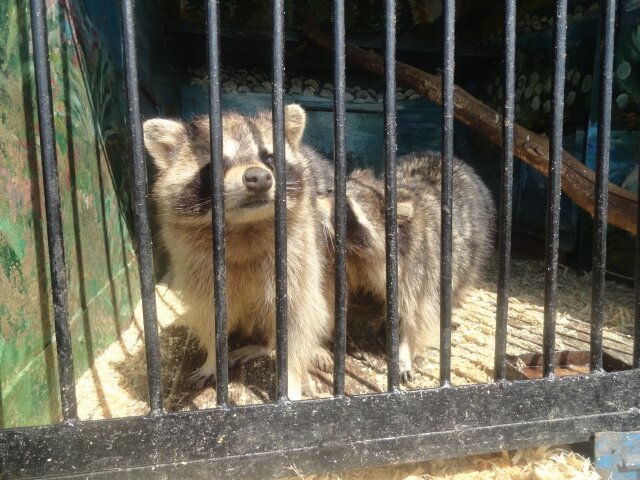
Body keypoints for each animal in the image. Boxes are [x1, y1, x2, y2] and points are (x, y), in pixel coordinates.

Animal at [144, 105, 336, 402]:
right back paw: (262, 344)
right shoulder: (196, 264)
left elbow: (298, 319)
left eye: (269, 157)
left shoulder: (299, 253)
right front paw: (213, 358)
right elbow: (209, 316)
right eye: (215, 164)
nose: (259, 178)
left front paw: (292, 378)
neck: (244, 226)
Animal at [324, 154, 496, 382]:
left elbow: (416, 315)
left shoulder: (421, 269)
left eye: (346, 208)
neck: (359, 252)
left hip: (471, 256)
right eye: (330, 190)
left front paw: (404, 353)